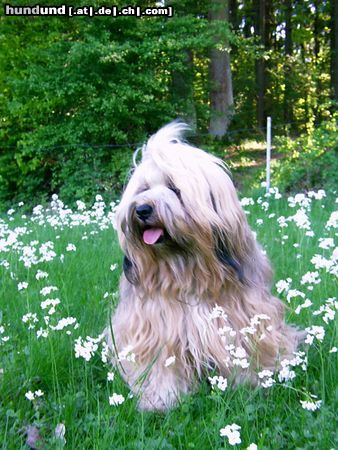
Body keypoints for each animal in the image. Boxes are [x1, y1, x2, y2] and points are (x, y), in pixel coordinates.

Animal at [108, 123, 304, 412]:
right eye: (143, 189)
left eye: (174, 188)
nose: (142, 209)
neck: (186, 270)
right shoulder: (154, 328)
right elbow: (160, 366)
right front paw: (161, 399)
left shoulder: (242, 318)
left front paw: (249, 386)